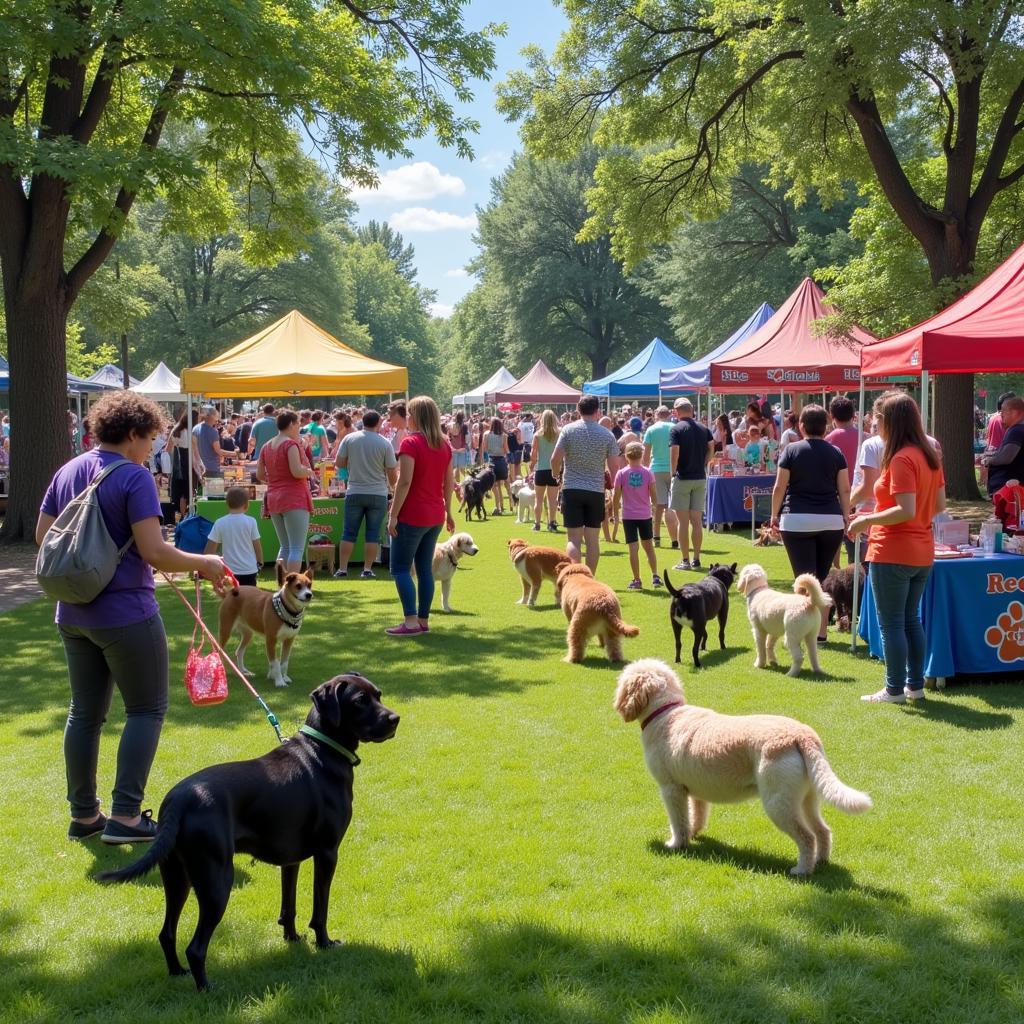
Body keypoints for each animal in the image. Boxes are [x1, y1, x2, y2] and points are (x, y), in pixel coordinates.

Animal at [98, 671, 395, 991]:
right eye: (359, 701)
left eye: (378, 694)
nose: (396, 718)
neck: (322, 750)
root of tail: (178, 800)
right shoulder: (327, 853)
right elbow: (320, 907)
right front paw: (324, 942)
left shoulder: (291, 859)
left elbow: (288, 906)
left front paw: (292, 938)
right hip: (217, 881)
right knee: (195, 947)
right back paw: (208, 989)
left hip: (177, 877)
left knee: (166, 933)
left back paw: (178, 972)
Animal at [610, 659, 868, 876]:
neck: (666, 714)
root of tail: (801, 736)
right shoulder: (693, 791)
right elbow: (696, 814)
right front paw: (694, 834)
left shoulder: (671, 789)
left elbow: (678, 821)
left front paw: (677, 844)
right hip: (807, 798)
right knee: (822, 831)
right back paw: (820, 861)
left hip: (778, 803)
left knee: (807, 837)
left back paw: (802, 870)